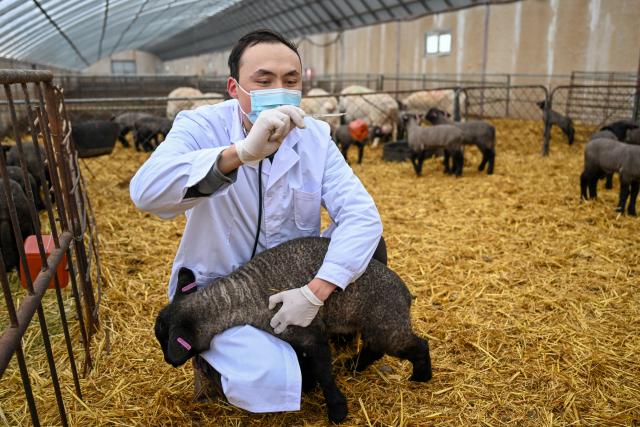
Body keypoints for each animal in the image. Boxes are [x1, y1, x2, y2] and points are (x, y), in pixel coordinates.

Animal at [154, 237, 432, 424]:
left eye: (165, 342)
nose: (168, 360)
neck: (238, 298)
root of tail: (405, 293)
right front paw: (312, 389)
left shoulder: (309, 334)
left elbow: (324, 373)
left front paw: (337, 410)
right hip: (376, 325)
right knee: (374, 348)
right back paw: (354, 366)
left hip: (387, 324)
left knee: (416, 345)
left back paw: (421, 375)